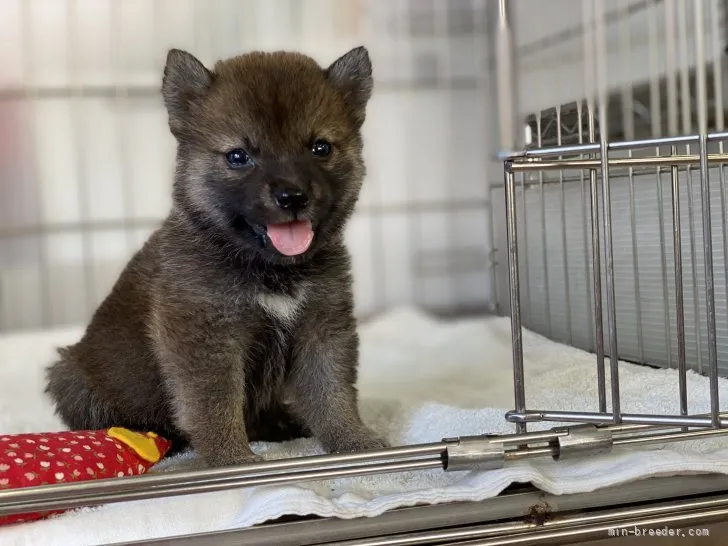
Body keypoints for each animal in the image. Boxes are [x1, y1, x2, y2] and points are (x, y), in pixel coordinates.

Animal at [43, 45, 390, 464]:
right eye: (238, 156)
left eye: (320, 148)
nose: (292, 196)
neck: (268, 270)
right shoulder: (205, 339)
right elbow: (215, 405)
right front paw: (231, 460)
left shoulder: (323, 327)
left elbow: (332, 393)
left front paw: (354, 441)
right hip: (70, 377)